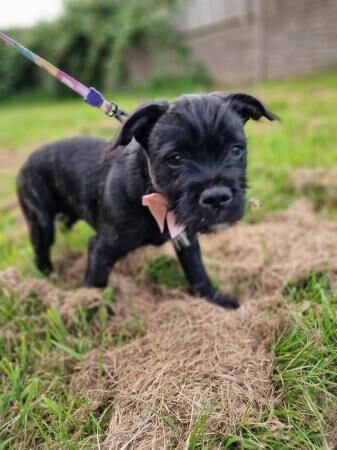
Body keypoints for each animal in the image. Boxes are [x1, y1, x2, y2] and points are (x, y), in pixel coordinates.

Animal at [17, 92, 276, 308]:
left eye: (236, 150)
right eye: (175, 158)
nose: (217, 197)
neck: (151, 193)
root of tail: (27, 160)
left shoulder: (186, 239)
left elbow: (198, 273)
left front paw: (216, 300)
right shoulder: (102, 248)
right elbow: (96, 285)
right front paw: (90, 314)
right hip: (41, 222)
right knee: (41, 252)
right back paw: (47, 282)